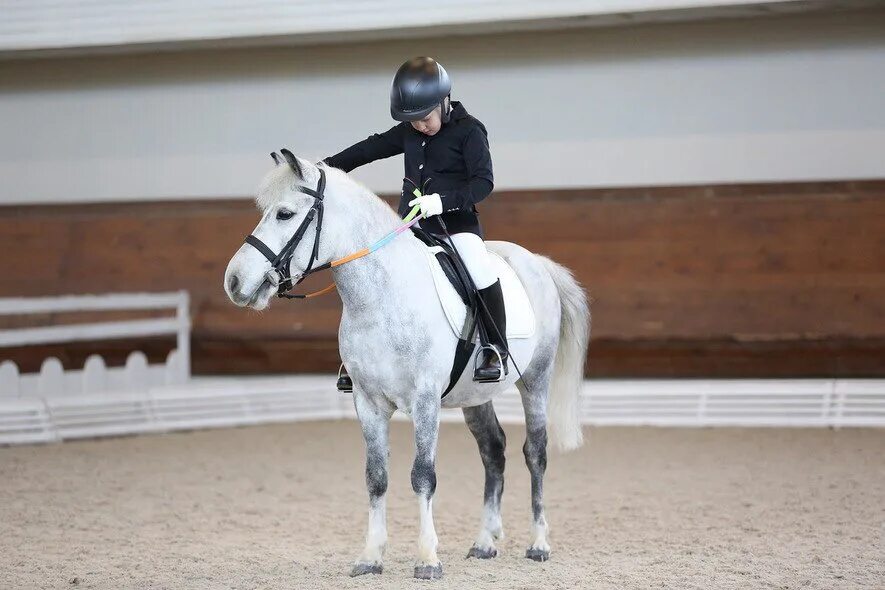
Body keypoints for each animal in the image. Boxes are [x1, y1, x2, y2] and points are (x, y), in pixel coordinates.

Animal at [224, 153, 592, 584]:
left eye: (285, 214)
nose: (234, 281)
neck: (382, 296)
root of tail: (538, 263)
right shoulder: (367, 402)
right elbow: (376, 477)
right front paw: (370, 556)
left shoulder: (425, 400)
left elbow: (423, 476)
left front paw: (428, 559)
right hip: (474, 396)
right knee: (493, 451)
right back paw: (485, 541)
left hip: (536, 381)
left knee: (535, 453)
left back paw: (538, 543)